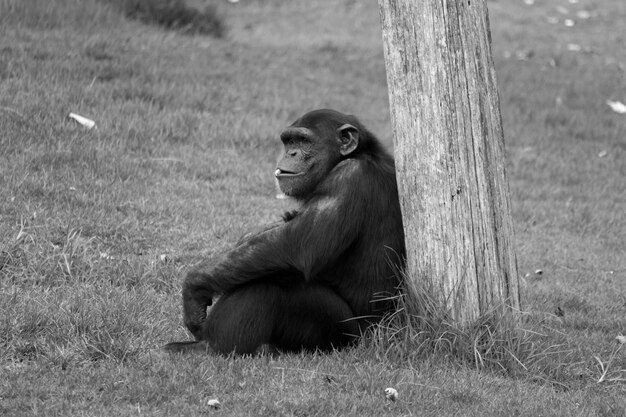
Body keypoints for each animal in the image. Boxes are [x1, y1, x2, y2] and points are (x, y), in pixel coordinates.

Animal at [163, 109, 404, 352]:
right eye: (289, 141)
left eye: (304, 141)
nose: (291, 153)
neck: (349, 158)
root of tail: (382, 332)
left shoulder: (347, 179)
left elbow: (295, 244)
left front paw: (194, 287)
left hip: (342, 332)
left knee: (270, 281)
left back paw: (208, 347)